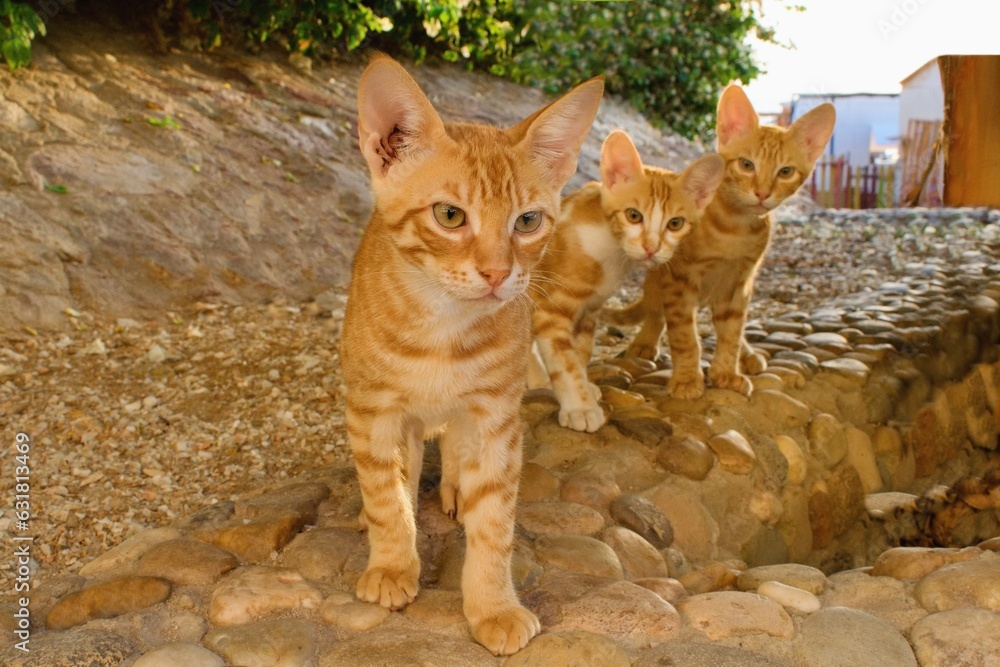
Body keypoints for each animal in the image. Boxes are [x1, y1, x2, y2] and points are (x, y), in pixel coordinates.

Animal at [342, 53, 600, 656]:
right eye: (450, 216)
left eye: (527, 221)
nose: (498, 274)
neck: (442, 327)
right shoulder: (374, 410)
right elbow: (387, 493)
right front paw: (392, 564)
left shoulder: (495, 418)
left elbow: (495, 521)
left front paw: (493, 607)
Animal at [528, 130, 724, 434]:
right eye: (633, 216)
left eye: (675, 223)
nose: (651, 248)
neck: (610, 250)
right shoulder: (550, 309)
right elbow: (564, 361)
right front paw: (580, 407)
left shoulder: (590, 310)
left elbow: (581, 352)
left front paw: (585, 388)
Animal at [608, 83, 836, 396]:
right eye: (746, 164)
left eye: (786, 172)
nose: (762, 193)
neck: (735, 229)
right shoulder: (680, 280)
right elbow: (685, 336)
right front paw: (688, 379)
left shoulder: (739, 282)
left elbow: (731, 331)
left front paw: (726, 372)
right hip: (660, 277)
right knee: (656, 310)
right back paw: (645, 341)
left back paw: (748, 354)